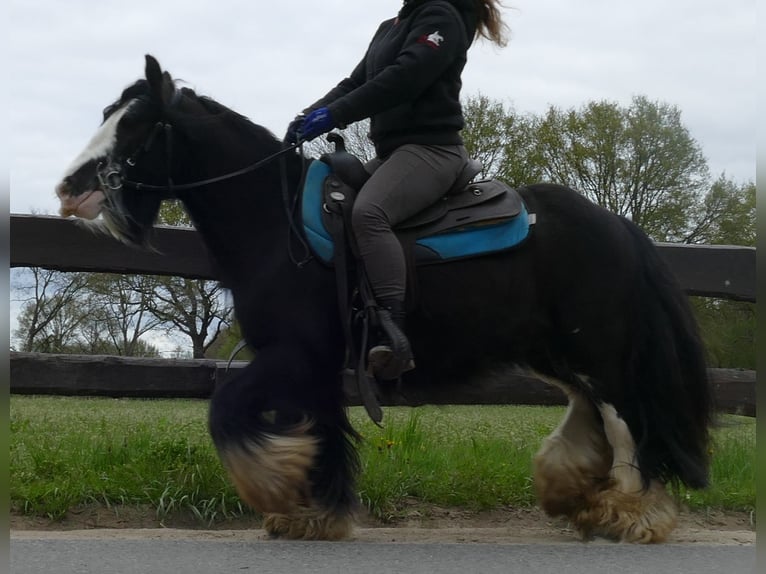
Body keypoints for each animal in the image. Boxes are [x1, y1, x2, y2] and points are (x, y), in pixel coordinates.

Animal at [57, 55, 716, 544]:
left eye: (137, 125)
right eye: (108, 114)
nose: (69, 187)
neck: (278, 224)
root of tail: (619, 227)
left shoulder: (291, 353)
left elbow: (226, 411)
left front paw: (273, 488)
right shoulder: (311, 363)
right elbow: (321, 428)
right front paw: (312, 513)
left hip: (599, 351)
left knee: (625, 422)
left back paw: (631, 513)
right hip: (556, 351)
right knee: (591, 411)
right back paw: (575, 493)